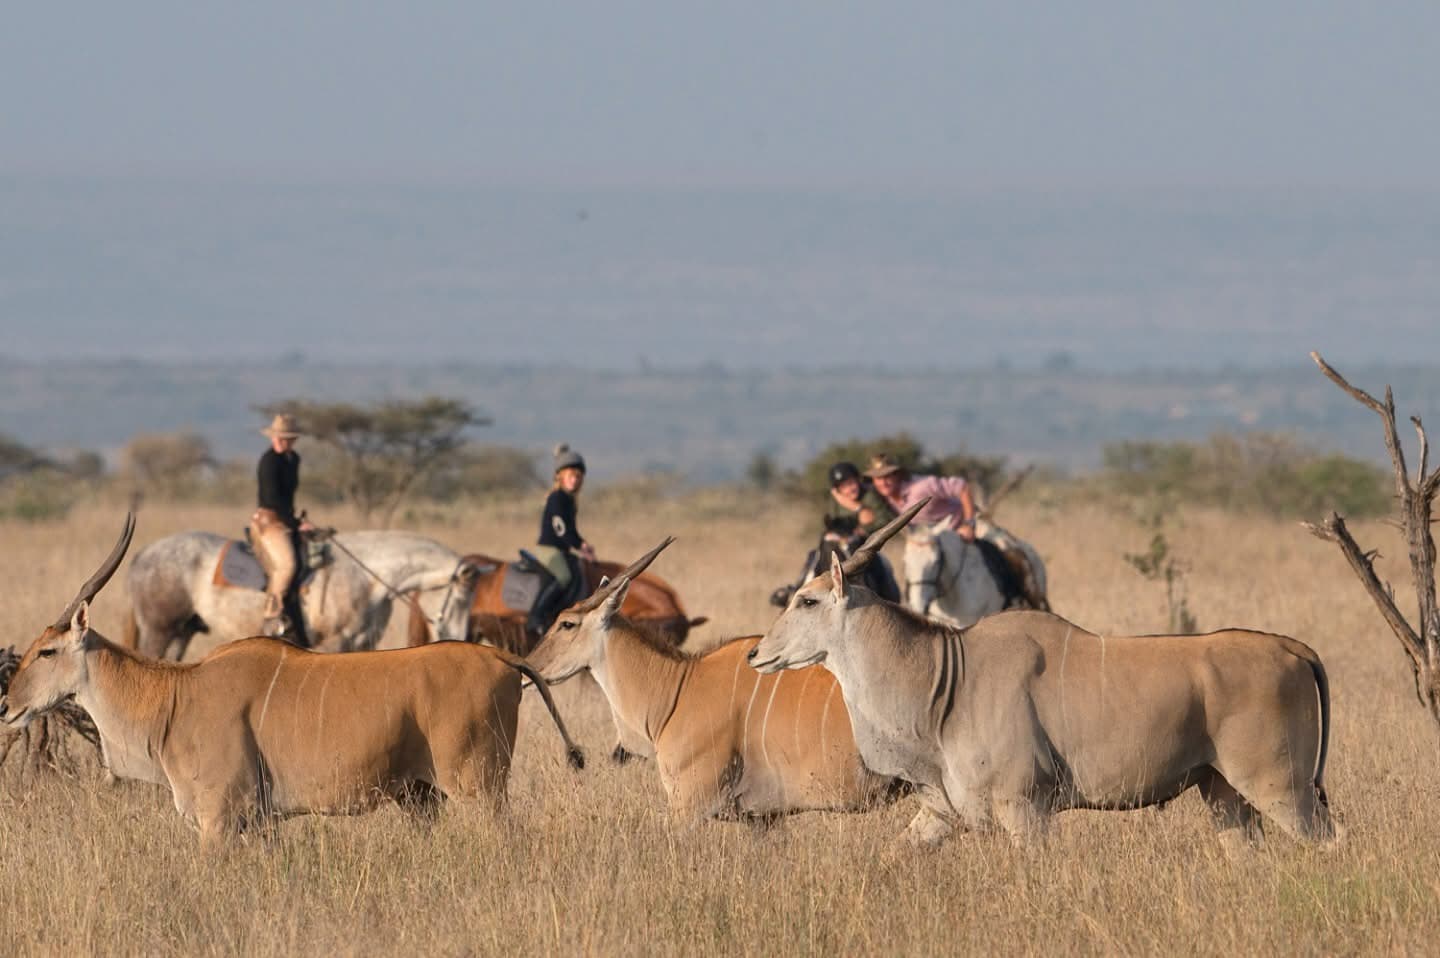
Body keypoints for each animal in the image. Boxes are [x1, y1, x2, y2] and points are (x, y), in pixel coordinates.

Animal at [124, 530, 482, 659]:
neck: (366, 577)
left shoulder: (360, 644)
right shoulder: (333, 644)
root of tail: (143, 554)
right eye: (460, 598)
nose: (458, 638)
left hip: (182, 632)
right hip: (159, 631)